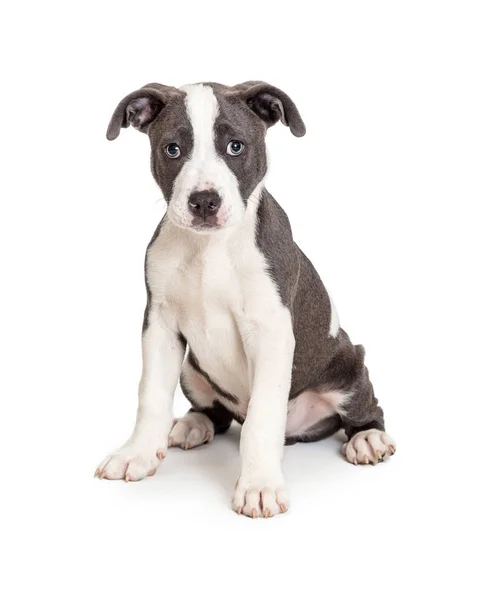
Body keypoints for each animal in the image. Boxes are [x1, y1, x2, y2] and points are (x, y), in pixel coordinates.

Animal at [95, 82, 396, 516]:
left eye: (235, 146)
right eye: (173, 149)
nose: (204, 201)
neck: (209, 248)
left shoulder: (270, 332)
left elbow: (261, 419)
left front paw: (259, 486)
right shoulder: (160, 325)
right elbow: (150, 395)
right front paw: (136, 453)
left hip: (349, 366)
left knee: (367, 410)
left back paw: (367, 438)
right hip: (192, 369)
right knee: (216, 413)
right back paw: (192, 424)